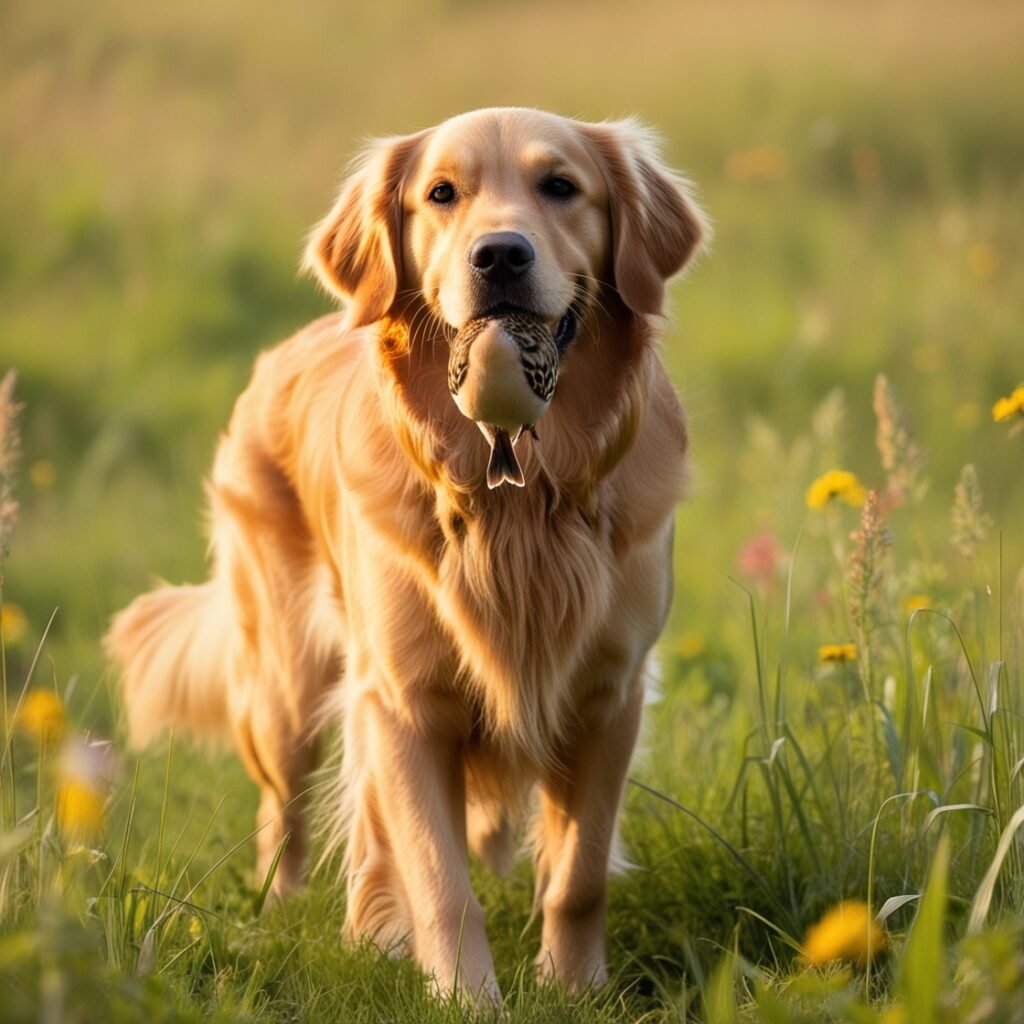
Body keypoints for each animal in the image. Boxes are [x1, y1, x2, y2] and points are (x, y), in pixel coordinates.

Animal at [108, 110, 708, 999]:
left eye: (561, 186)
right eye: (441, 194)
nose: (499, 256)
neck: (518, 501)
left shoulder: (609, 696)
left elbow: (578, 875)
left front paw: (571, 988)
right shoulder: (404, 701)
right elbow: (442, 881)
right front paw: (469, 1000)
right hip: (286, 688)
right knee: (283, 815)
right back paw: (287, 917)